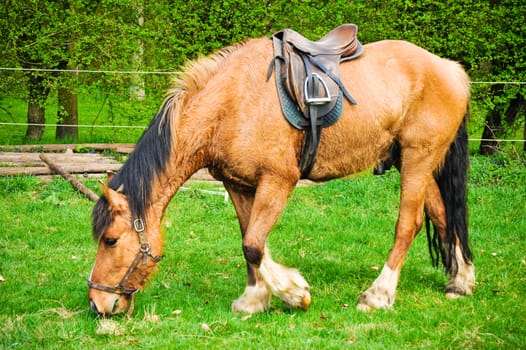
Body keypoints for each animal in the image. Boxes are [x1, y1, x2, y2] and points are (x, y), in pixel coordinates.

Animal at [88, 29, 476, 318]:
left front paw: (294, 293)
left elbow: (254, 244)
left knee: (408, 224)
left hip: (417, 159)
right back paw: (461, 281)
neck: (230, 105)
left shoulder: (278, 180)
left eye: (111, 240)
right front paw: (255, 299)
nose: (97, 304)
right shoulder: (239, 185)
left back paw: (379, 294)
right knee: (443, 215)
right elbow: (249, 241)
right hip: (414, 162)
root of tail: (450, 69)